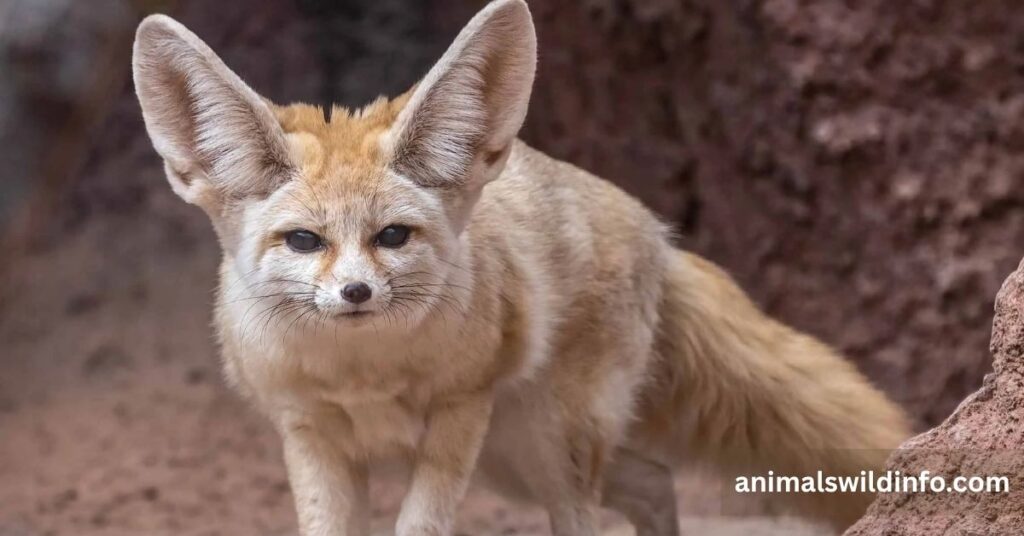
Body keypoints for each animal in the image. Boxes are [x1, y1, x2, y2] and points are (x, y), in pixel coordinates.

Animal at [132, 1, 911, 535]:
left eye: (392, 236)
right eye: (303, 241)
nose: (356, 291)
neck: (363, 372)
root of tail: (658, 233)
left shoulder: (459, 414)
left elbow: (420, 524)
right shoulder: (310, 433)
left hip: (543, 445)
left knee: (597, 512)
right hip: (516, 462)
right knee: (655, 480)